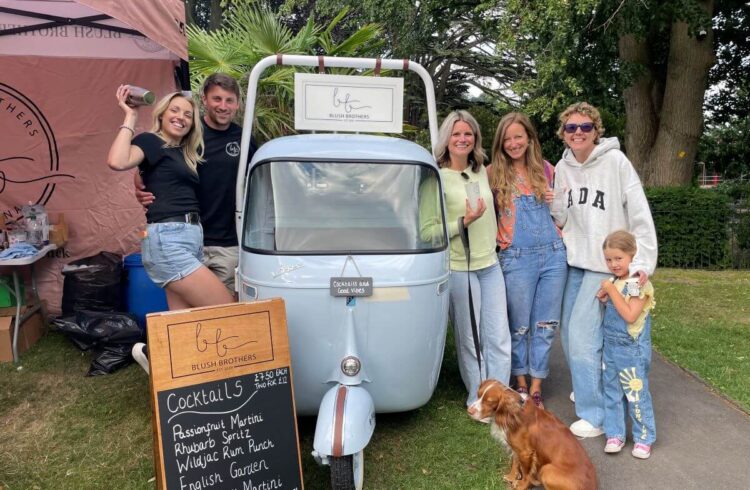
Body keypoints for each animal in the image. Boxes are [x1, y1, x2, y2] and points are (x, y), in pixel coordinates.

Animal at [470, 378, 600, 490]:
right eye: (478, 395)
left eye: (489, 401)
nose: (469, 411)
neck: (513, 413)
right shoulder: (517, 448)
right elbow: (515, 463)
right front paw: (511, 477)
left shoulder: (525, 453)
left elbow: (526, 473)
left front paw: (521, 485)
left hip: (546, 470)